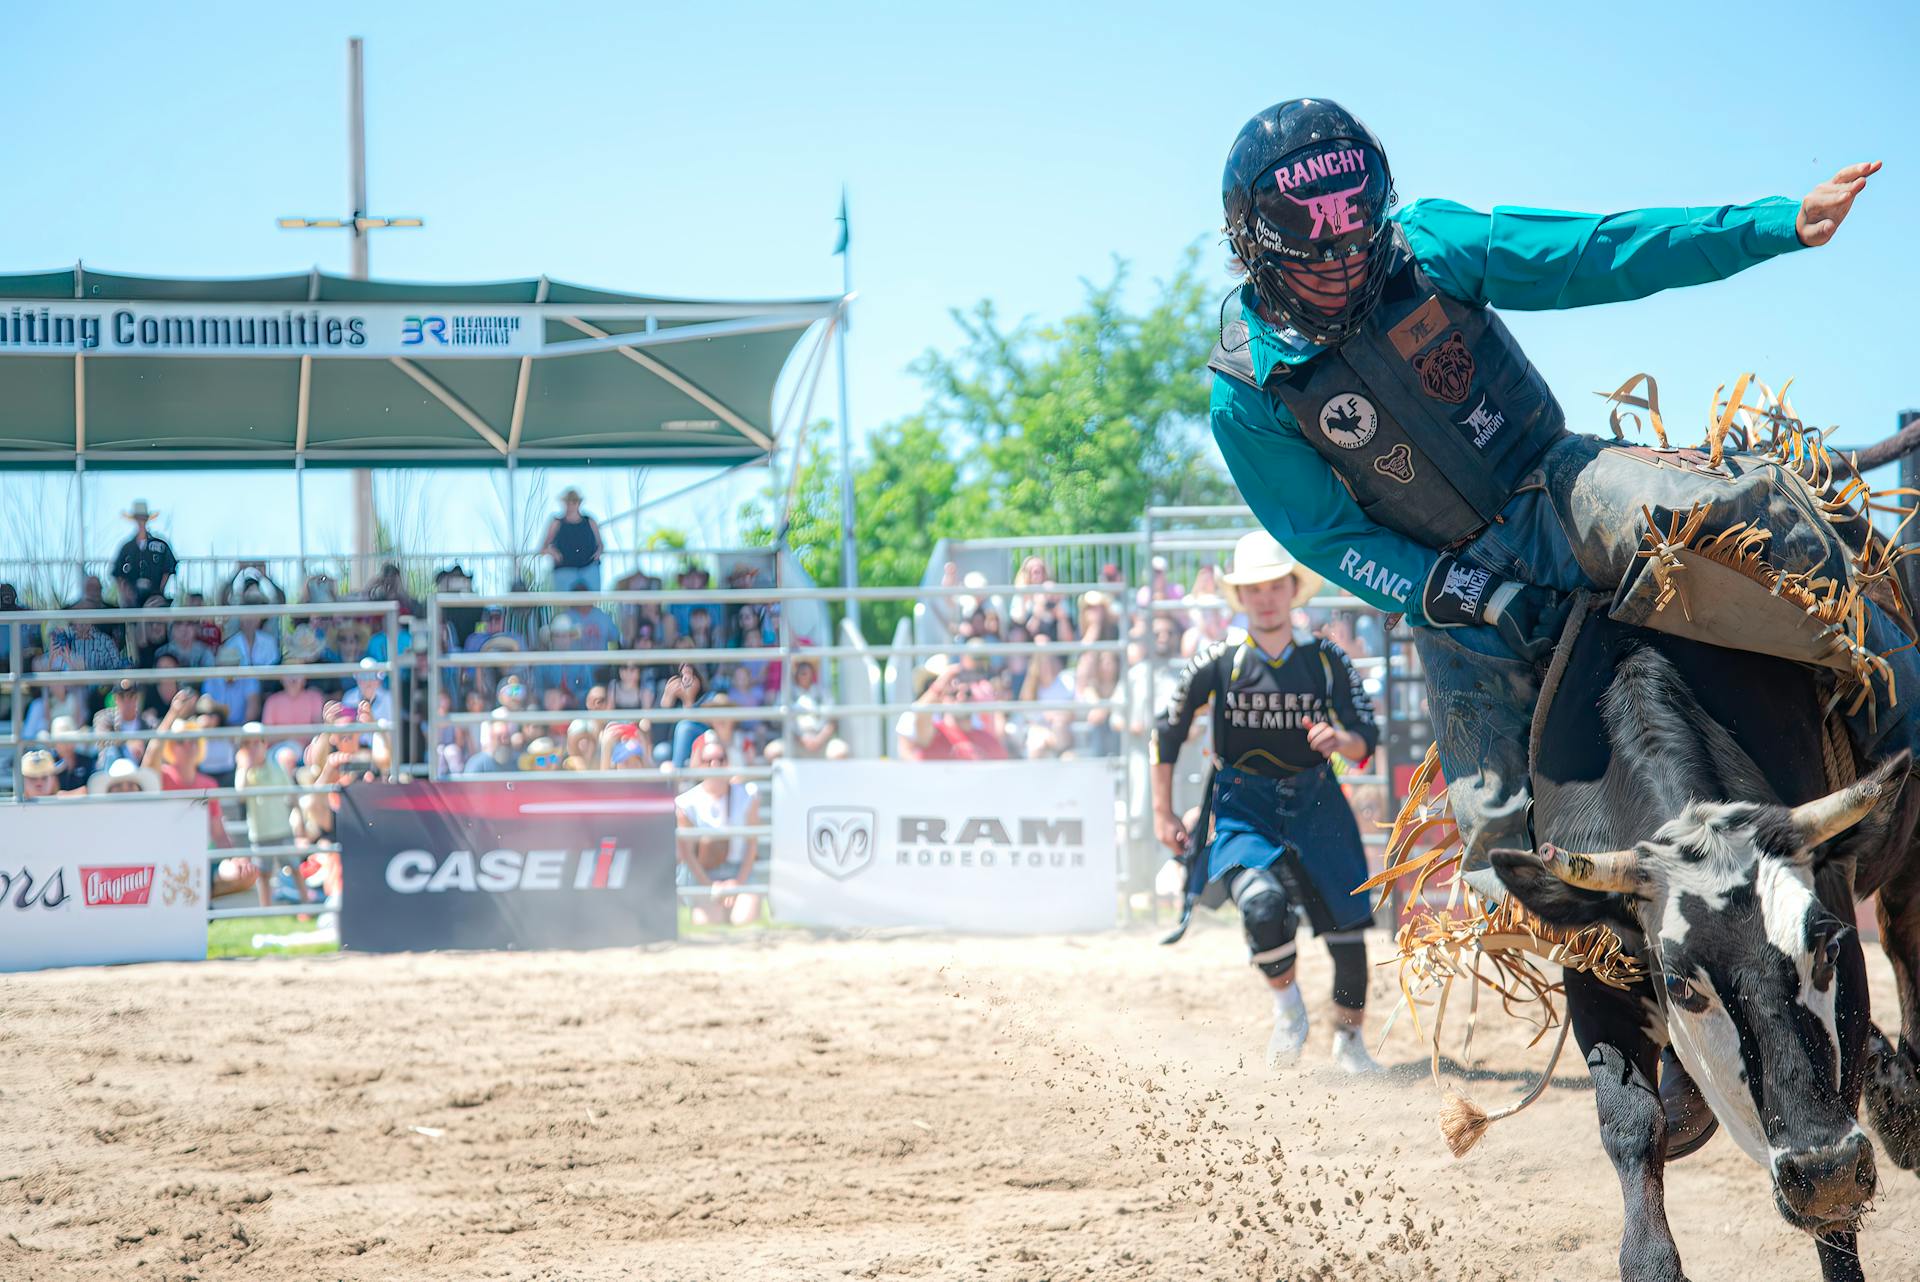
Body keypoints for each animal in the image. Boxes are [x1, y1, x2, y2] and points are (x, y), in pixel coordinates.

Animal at [1489, 617, 1920, 1282]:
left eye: (1824, 949)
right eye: (1679, 985)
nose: (1823, 1171)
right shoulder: (1592, 974)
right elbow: (1630, 1122)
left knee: (1904, 937)